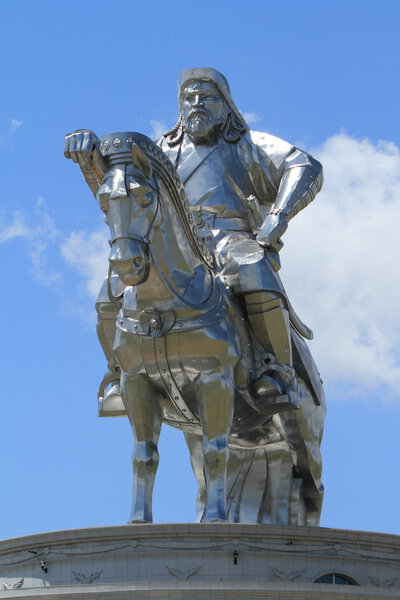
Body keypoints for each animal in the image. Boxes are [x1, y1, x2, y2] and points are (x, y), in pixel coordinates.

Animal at [69, 130, 324, 524]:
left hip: (304, 435)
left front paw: (218, 520)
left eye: (145, 197)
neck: (161, 307)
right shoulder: (137, 386)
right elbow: (145, 456)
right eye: (103, 203)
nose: (125, 265)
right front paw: (139, 520)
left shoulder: (214, 380)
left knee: (313, 490)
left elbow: (216, 452)